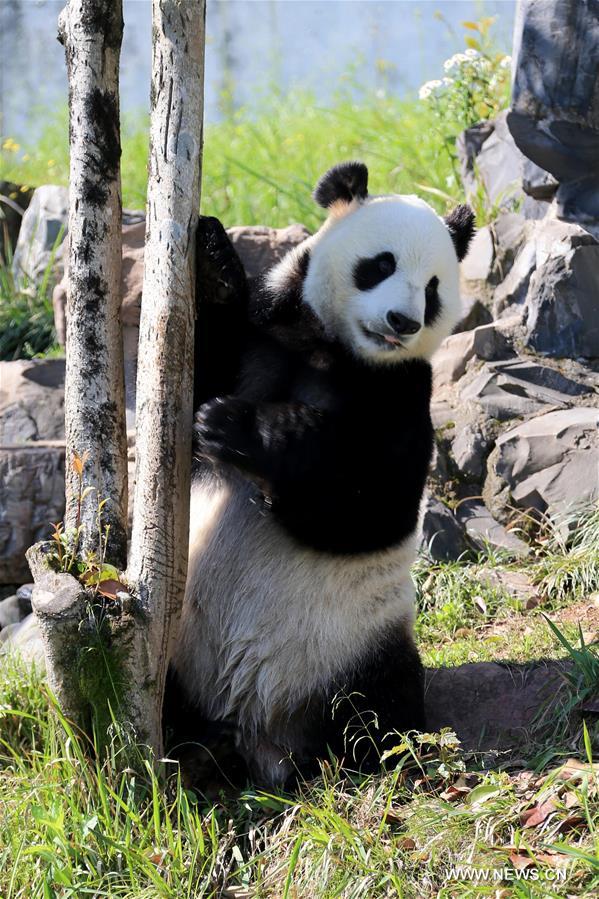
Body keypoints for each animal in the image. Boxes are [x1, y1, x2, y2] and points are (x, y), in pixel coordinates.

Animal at [170, 162, 478, 788]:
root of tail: (256, 732)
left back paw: (358, 758)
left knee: (381, 705)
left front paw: (241, 427)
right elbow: (191, 384)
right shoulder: (264, 339)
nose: (402, 321)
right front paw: (214, 261)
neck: (331, 347)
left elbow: (367, 508)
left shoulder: (401, 394)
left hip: (351, 650)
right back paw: (193, 748)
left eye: (433, 288)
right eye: (381, 264)